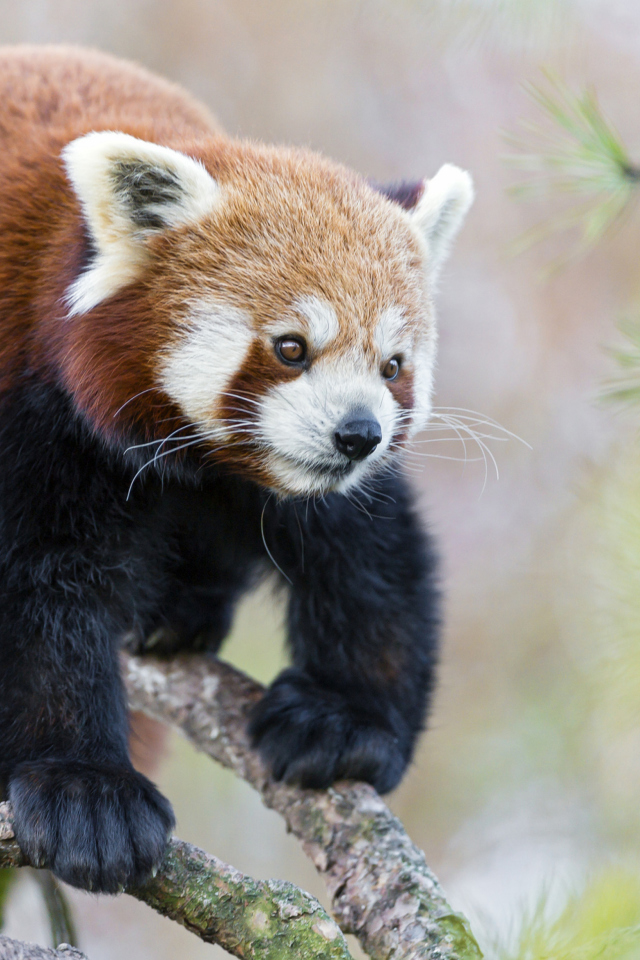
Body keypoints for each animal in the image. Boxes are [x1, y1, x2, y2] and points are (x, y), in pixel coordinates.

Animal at [0, 47, 472, 892]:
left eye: (392, 367)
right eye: (291, 347)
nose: (359, 434)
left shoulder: (308, 483)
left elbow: (373, 556)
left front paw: (345, 719)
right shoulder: (37, 413)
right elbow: (37, 596)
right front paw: (86, 791)